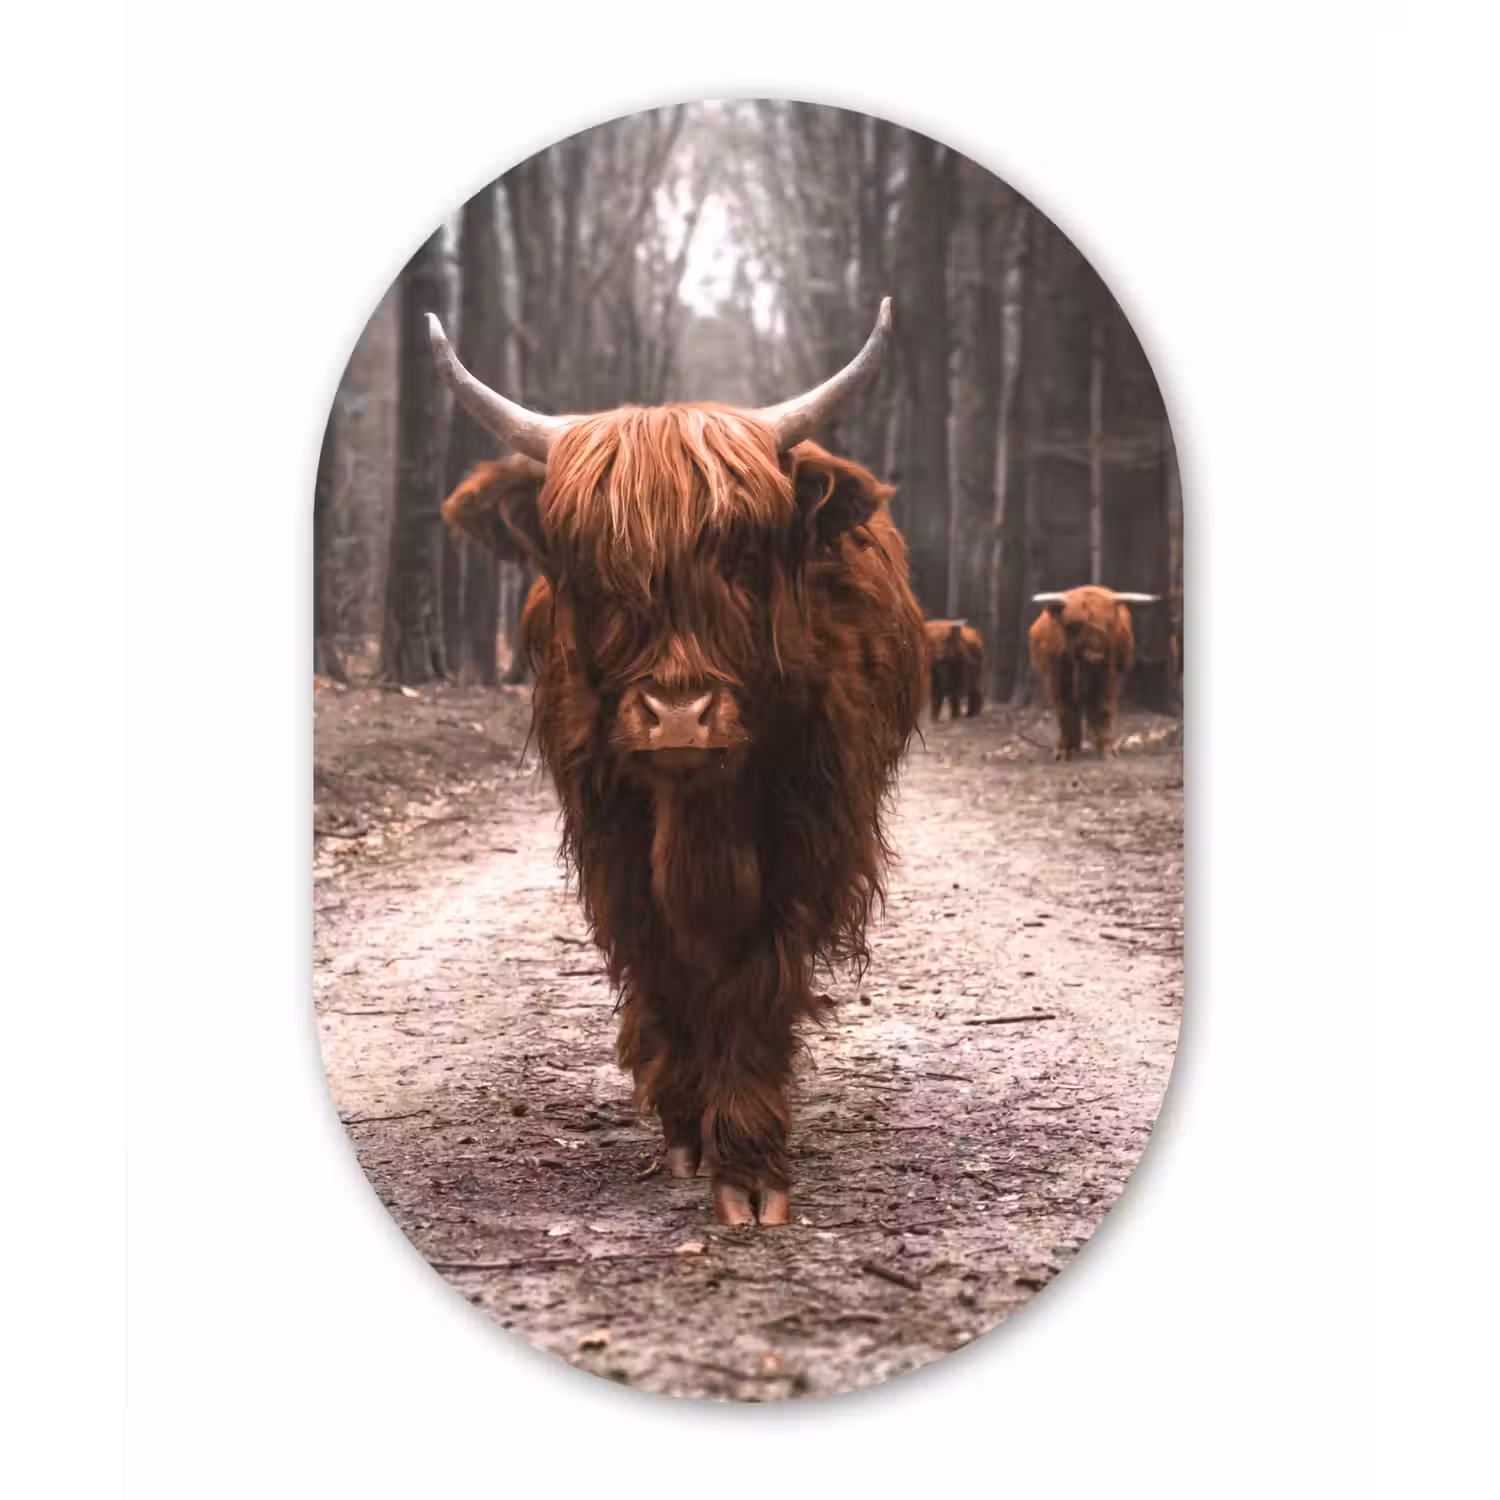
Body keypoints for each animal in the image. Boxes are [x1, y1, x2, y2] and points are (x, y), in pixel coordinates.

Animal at [428, 300, 927, 1227]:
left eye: (743, 556)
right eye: (592, 569)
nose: (679, 717)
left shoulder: (805, 835)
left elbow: (756, 976)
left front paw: (751, 1164)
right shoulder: (611, 838)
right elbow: (662, 963)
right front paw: (690, 1128)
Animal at [1027, 586, 1160, 760]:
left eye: (1108, 625)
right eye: (1072, 626)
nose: (1094, 656)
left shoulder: (1108, 674)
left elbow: (1103, 708)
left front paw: (1108, 750)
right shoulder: (1058, 676)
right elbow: (1065, 709)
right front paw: (1063, 750)